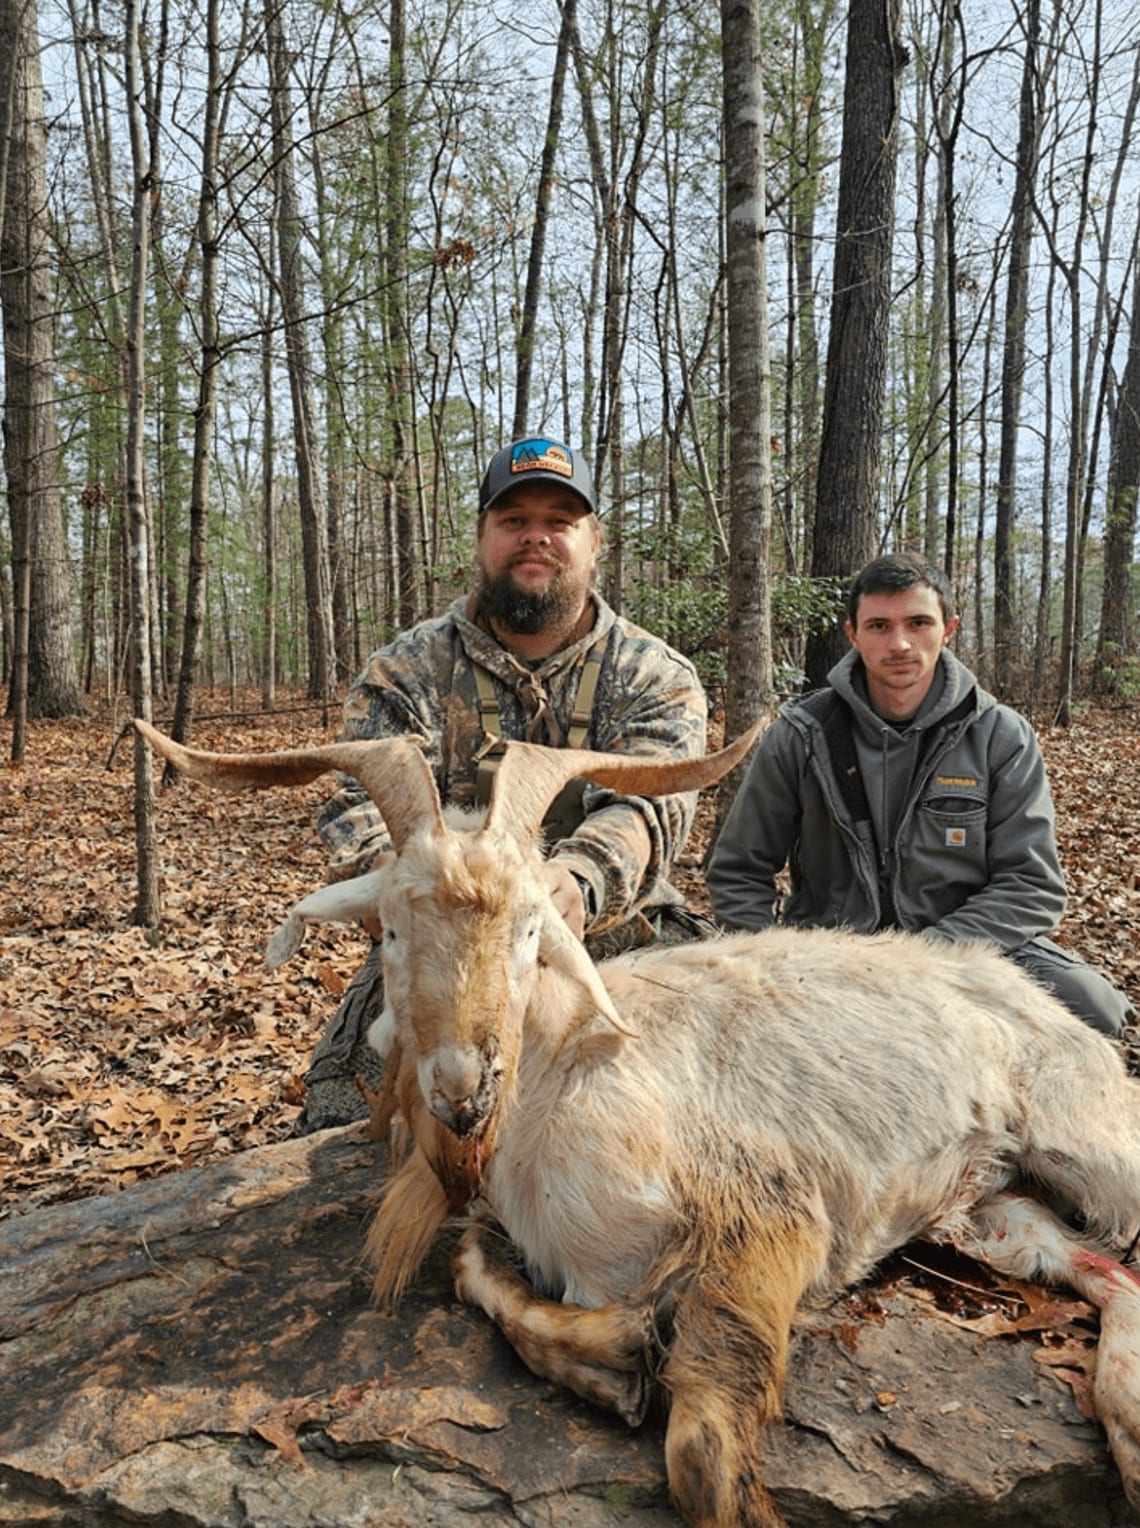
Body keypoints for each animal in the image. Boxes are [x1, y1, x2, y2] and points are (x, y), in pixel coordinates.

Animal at [134, 717, 1140, 1528]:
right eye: (388, 928)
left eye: (532, 931)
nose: (463, 1087)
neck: (569, 1074)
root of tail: (1022, 992)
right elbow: (477, 1274)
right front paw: (620, 1357)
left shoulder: (770, 1219)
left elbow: (703, 1459)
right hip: (984, 1212)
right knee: (1106, 1271)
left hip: (1086, 1140)